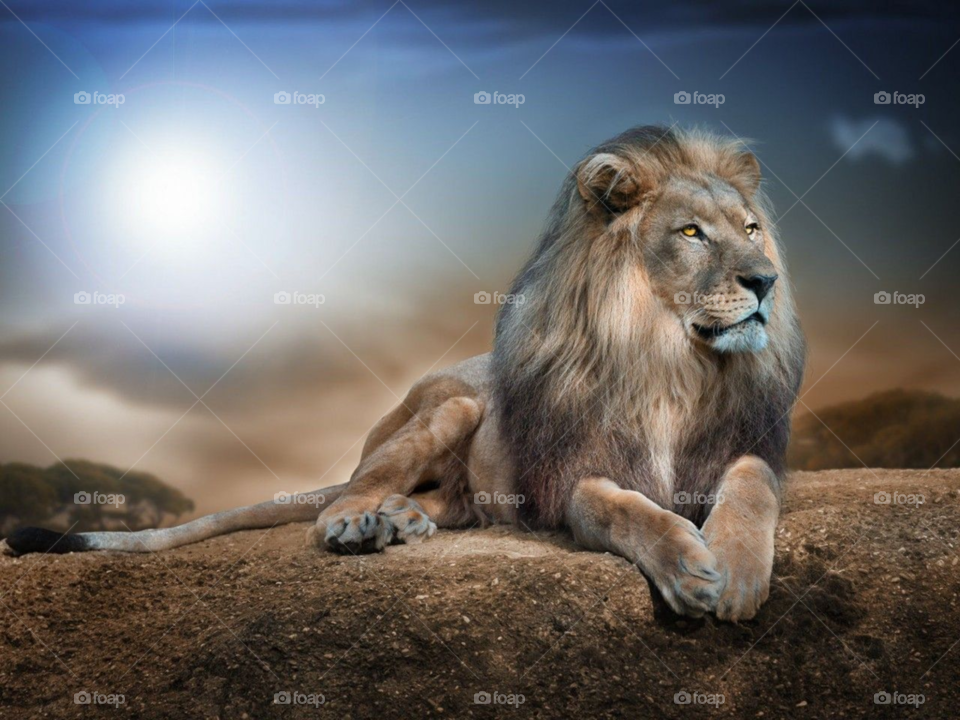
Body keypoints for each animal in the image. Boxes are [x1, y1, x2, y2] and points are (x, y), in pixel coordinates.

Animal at [2, 125, 805, 621]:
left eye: (753, 229)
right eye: (691, 233)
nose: (765, 280)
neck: (671, 361)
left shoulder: (745, 445)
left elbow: (751, 487)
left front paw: (735, 571)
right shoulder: (571, 475)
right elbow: (624, 509)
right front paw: (689, 565)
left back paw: (403, 520)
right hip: (451, 408)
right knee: (346, 492)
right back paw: (360, 523)